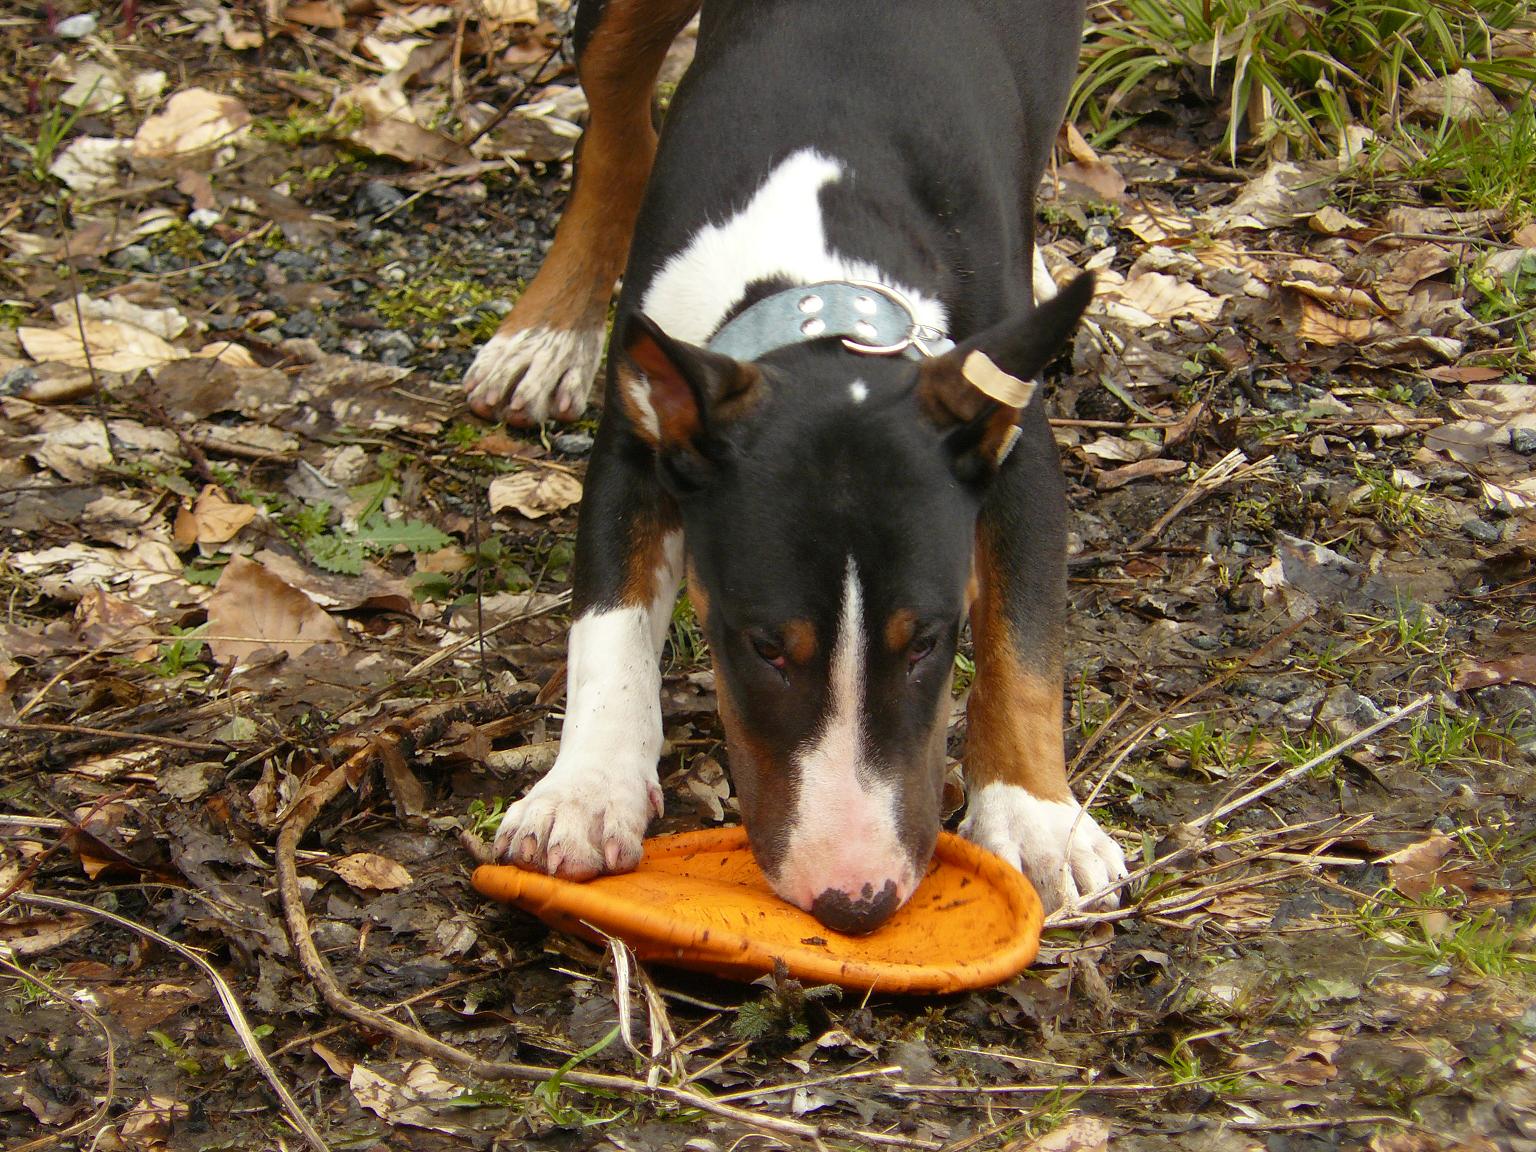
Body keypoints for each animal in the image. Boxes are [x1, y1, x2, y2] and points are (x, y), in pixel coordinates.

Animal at [479, 0, 1130, 927]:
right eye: (764, 647)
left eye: (929, 641)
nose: (856, 902)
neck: (826, 282)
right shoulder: (643, 437)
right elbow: (607, 622)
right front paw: (584, 792)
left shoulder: (1014, 451)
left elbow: (1027, 645)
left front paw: (1037, 820)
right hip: (613, 34)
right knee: (612, 128)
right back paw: (544, 334)